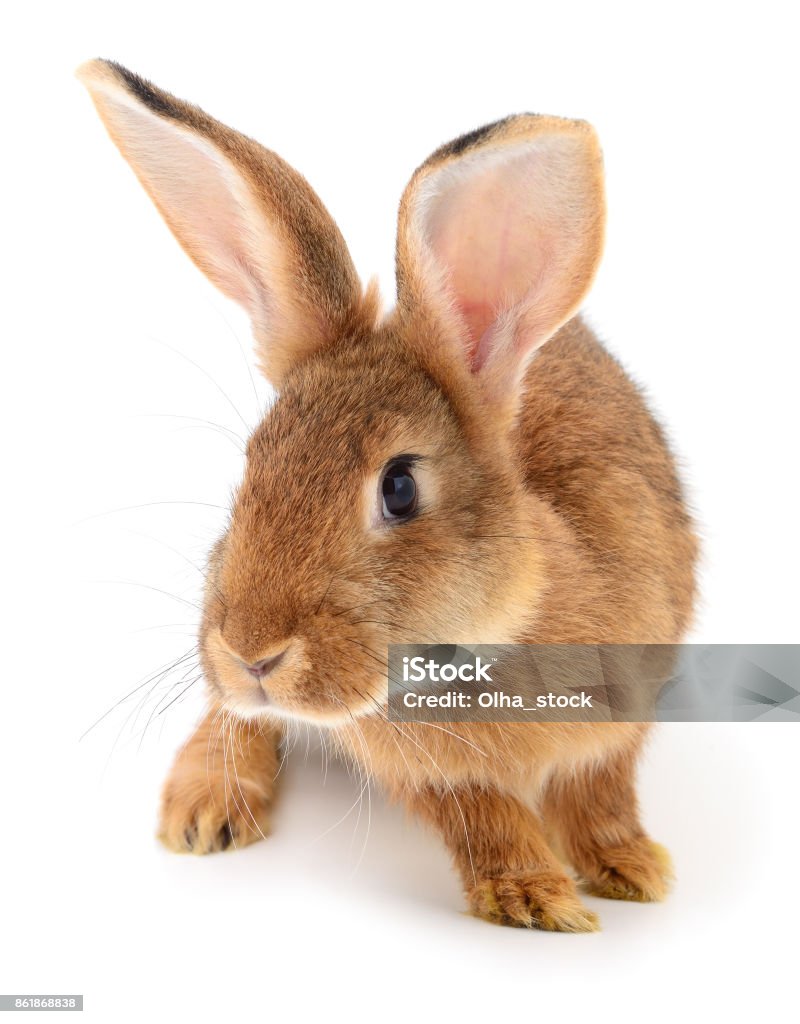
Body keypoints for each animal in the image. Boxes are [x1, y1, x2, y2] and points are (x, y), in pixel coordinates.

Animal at [78, 59, 697, 931]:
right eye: (252, 464)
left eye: (399, 488)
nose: (253, 652)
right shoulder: (432, 774)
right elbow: (485, 817)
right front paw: (535, 897)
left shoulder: (629, 705)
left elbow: (600, 792)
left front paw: (630, 868)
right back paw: (204, 808)